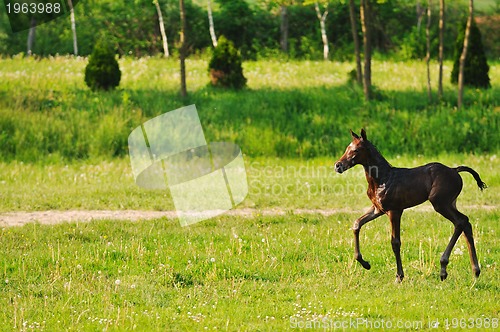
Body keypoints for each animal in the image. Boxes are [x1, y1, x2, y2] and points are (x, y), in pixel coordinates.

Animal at [334, 128, 486, 282]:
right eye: (347, 148)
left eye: (356, 150)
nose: (338, 165)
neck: (382, 178)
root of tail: (455, 170)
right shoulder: (378, 209)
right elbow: (357, 224)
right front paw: (365, 264)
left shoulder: (395, 211)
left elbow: (395, 242)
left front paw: (399, 276)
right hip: (450, 203)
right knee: (465, 223)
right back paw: (475, 271)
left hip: (440, 203)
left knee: (461, 221)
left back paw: (444, 269)